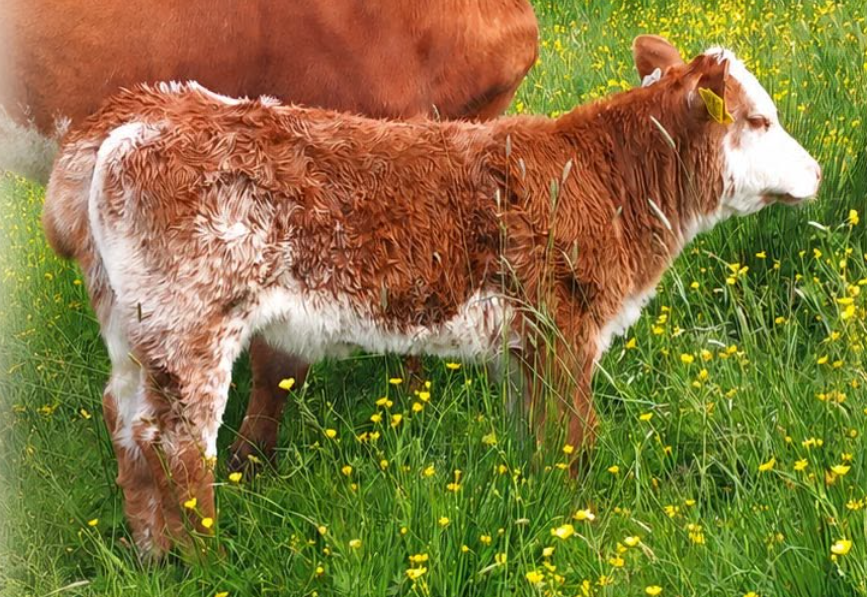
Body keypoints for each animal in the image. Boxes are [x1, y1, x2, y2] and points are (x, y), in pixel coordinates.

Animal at [42, 35, 821, 556]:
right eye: (758, 121)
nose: (813, 172)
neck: (601, 178)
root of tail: (143, 110)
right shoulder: (565, 330)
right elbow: (575, 438)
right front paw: (580, 522)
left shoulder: (526, 347)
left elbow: (535, 436)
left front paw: (541, 503)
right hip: (193, 326)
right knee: (176, 444)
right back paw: (208, 559)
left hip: (135, 329)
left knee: (125, 421)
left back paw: (153, 553)